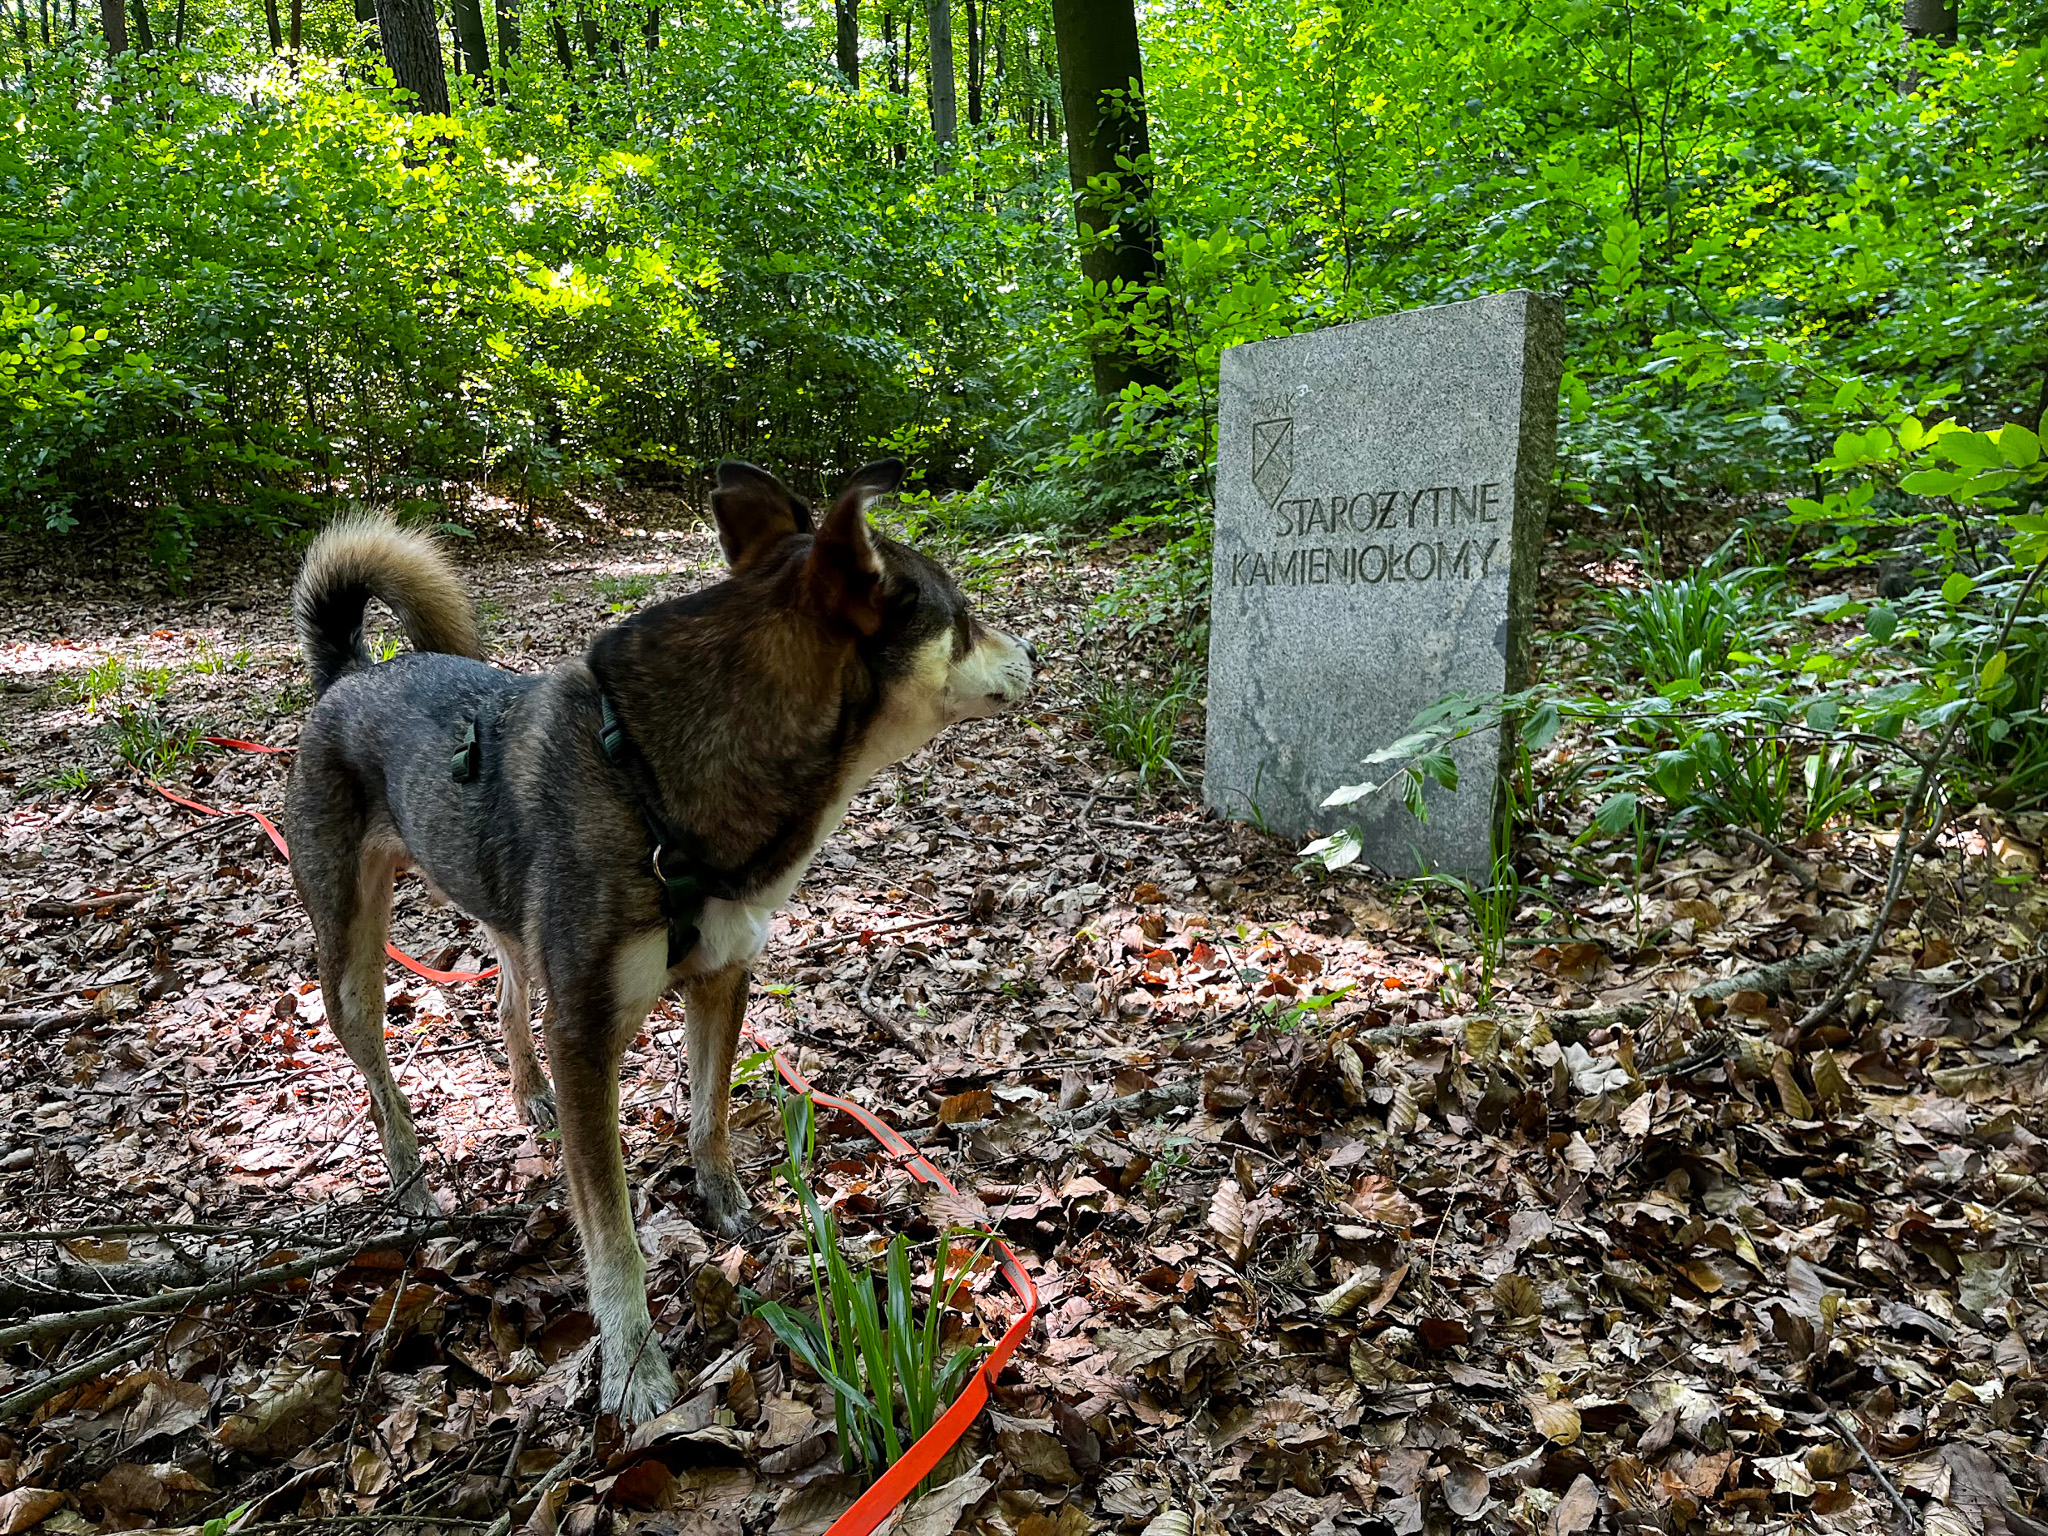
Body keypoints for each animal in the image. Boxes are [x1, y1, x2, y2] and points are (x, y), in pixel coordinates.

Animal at [280, 462, 1032, 1425]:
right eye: (963, 614)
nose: (1034, 654)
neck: (655, 787)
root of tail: (348, 673)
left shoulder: (719, 979)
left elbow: (709, 1114)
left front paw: (728, 1206)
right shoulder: (588, 1033)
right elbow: (613, 1237)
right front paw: (632, 1367)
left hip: (508, 922)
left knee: (508, 1000)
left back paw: (531, 1098)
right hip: (351, 960)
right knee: (378, 1076)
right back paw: (412, 1182)